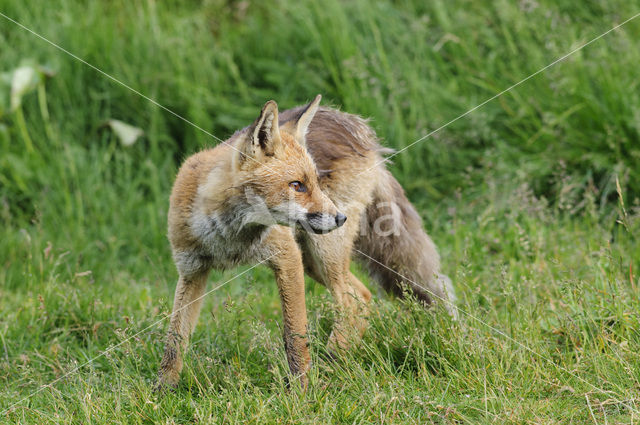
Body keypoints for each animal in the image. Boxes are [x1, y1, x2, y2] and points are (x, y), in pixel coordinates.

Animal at [155, 94, 456, 390]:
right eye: (297, 185)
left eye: (315, 183)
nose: (340, 218)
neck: (231, 238)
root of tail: (354, 126)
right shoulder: (192, 270)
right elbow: (175, 339)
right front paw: (163, 391)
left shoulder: (287, 258)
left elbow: (294, 334)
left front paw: (300, 389)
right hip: (312, 260)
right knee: (362, 297)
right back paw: (336, 360)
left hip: (324, 253)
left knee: (351, 302)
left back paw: (331, 362)